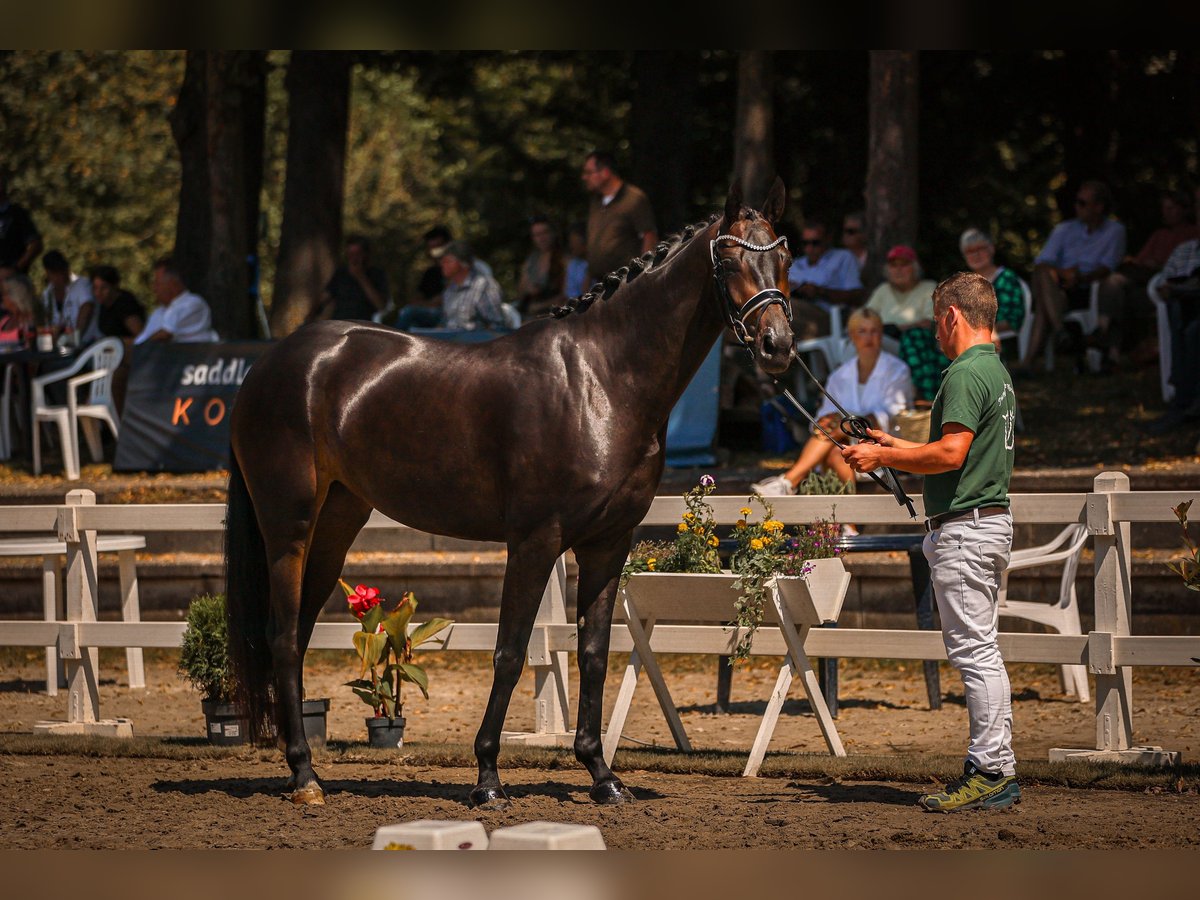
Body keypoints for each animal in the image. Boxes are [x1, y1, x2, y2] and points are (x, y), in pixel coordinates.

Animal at [226, 177, 796, 811]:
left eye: (784, 258)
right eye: (730, 259)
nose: (776, 345)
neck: (601, 379)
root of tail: (270, 363)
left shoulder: (607, 544)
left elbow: (593, 653)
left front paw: (603, 776)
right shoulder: (534, 541)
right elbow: (509, 652)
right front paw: (487, 780)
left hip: (335, 524)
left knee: (298, 636)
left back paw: (302, 769)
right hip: (289, 528)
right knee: (280, 637)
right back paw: (305, 777)